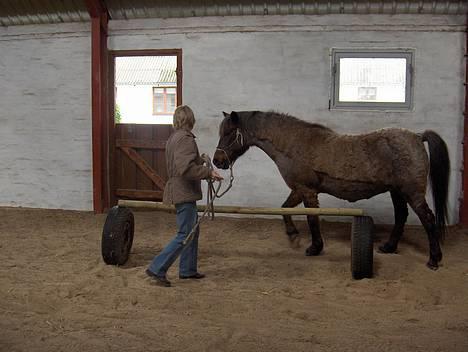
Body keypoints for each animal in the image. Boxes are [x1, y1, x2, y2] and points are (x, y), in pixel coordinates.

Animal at [213, 110, 450, 270]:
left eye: (230, 133)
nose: (217, 161)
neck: (293, 145)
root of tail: (417, 136)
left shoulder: (307, 191)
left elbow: (311, 219)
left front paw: (314, 247)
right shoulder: (298, 190)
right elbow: (284, 209)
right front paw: (292, 234)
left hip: (411, 193)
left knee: (428, 220)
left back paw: (433, 259)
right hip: (397, 192)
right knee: (401, 216)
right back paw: (389, 247)